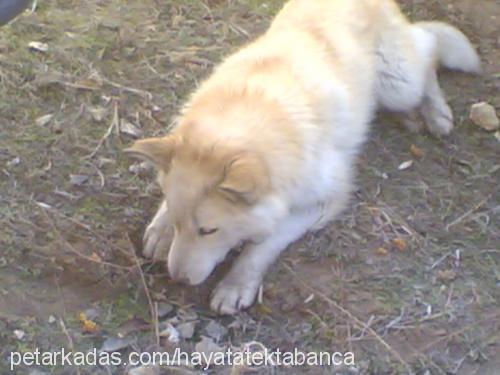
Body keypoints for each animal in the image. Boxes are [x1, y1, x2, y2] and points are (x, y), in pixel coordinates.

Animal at [124, 0, 476, 314]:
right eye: (179, 221)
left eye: (209, 231)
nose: (177, 279)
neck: (247, 116)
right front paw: (161, 228)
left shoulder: (323, 202)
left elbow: (261, 245)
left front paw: (236, 284)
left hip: (398, 85)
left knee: (428, 47)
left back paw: (436, 113)